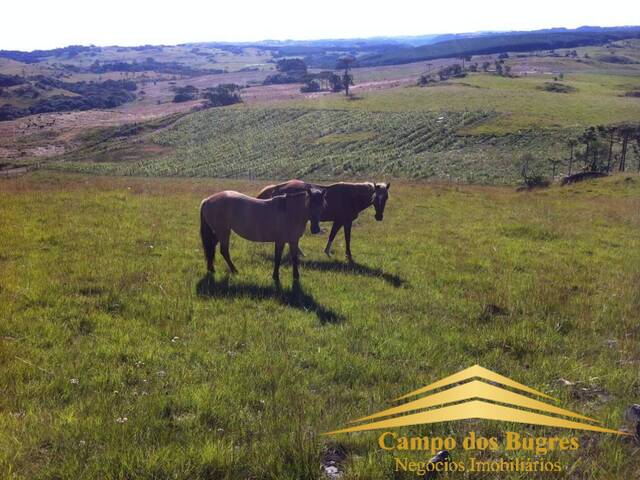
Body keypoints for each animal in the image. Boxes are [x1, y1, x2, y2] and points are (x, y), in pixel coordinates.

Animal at [256, 180, 390, 260]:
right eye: (375, 197)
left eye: (386, 197)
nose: (379, 217)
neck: (351, 196)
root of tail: (279, 187)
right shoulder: (345, 221)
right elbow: (347, 238)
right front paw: (348, 255)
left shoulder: (338, 221)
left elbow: (332, 235)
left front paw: (327, 251)